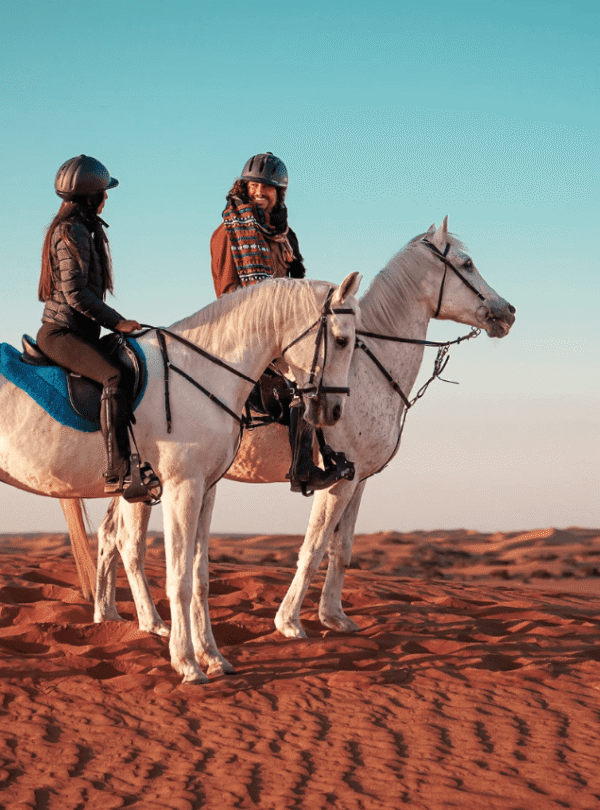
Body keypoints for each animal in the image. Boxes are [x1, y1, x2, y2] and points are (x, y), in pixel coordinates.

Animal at [2, 273, 361, 683]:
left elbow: (200, 576)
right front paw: (187, 663)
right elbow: (180, 578)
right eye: (342, 340)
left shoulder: (205, 490)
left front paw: (213, 658)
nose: (333, 411)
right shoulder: (181, 488)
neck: (205, 373)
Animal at [66, 216, 516, 649]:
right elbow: (314, 546)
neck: (365, 369)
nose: (507, 311)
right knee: (128, 542)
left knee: (109, 535)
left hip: (133, 481)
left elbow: (342, 548)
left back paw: (108, 616)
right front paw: (290, 623)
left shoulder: (358, 480)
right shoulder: (336, 480)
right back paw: (153, 623)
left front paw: (335, 617)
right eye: (466, 264)